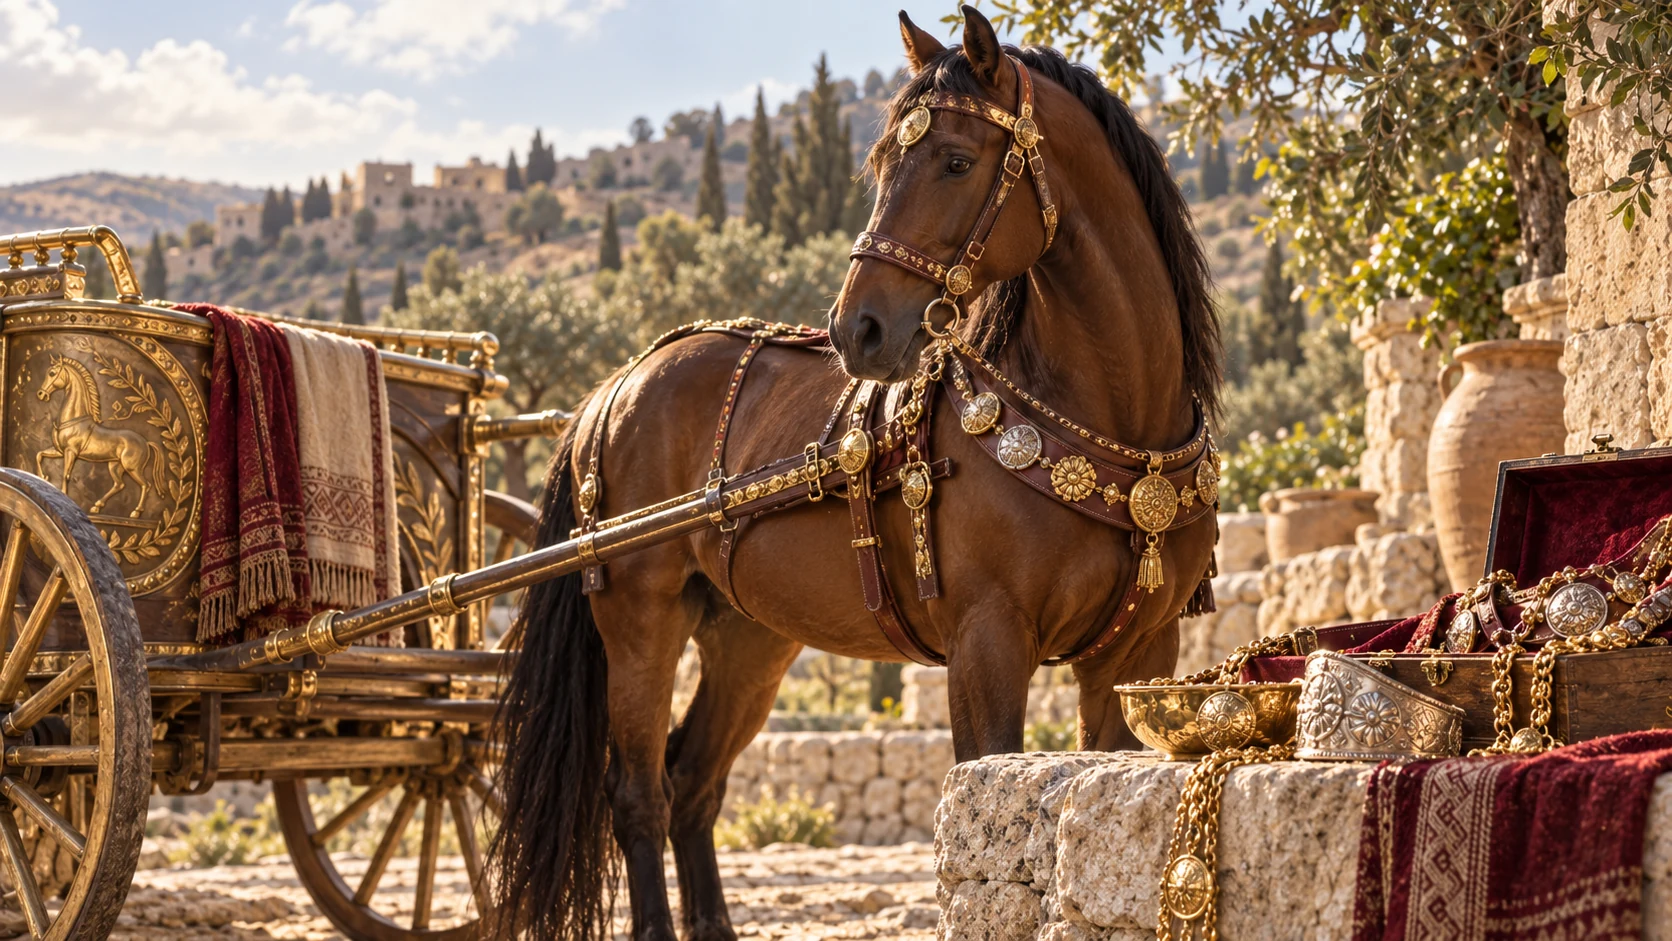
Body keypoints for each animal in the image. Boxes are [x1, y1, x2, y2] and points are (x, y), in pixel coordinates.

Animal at [35, 355, 168, 518]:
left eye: (52, 373)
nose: (41, 394)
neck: (72, 420)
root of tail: (146, 442)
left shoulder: (71, 452)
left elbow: (66, 474)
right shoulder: (59, 451)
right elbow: (39, 455)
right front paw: (43, 477)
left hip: (132, 468)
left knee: (146, 485)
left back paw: (136, 512)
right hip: (114, 465)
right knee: (119, 484)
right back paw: (97, 506)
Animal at [487, 7, 1220, 940]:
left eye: (955, 160)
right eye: (879, 166)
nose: (856, 329)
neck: (1110, 424)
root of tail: (615, 387)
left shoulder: (1137, 652)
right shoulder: (987, 642)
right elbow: (981, 800)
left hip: (749, 639)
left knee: (692, 783)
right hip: (640, 622)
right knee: (639, 795)